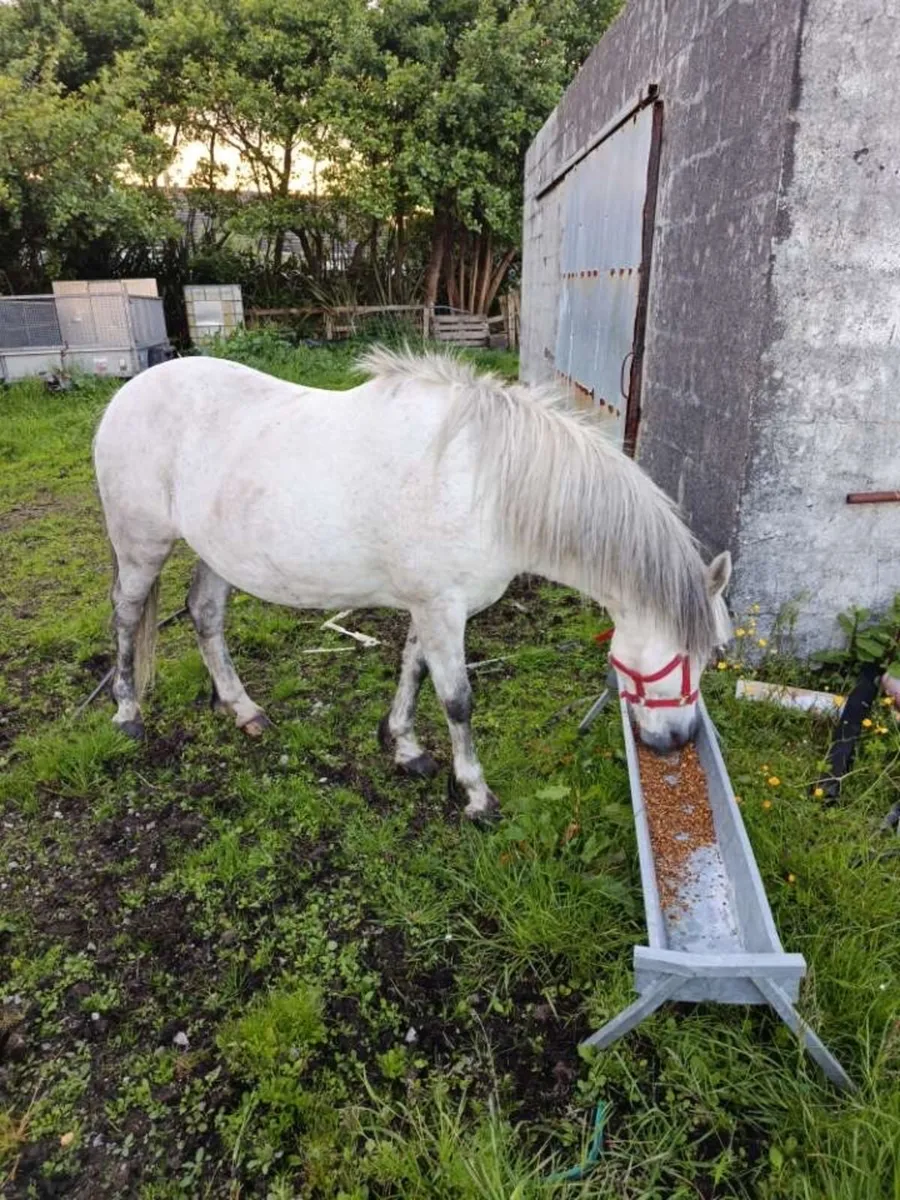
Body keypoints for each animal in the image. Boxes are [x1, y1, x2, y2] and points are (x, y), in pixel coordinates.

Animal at [92, 347, 732, 821]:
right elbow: (457, 699)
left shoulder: (435, 607)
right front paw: (475, 795)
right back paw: (126, 715)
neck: (485, 484)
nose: (677, 741)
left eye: (712, 654)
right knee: (126, 616)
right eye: (682, 655)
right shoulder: (442, 608)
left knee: (204, 614)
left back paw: (243, 709)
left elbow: (414, 669)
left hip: (218, 553)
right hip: (141, 546)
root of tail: (128, 393)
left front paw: (404, 747)